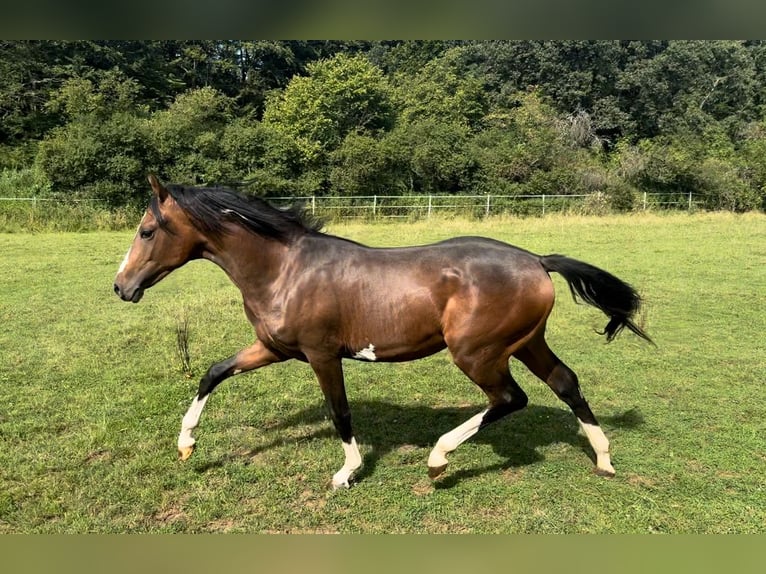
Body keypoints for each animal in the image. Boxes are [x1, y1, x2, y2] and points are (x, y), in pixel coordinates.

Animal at [115, 176, 656, 490]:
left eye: (146, 231)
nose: (122, 287)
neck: (284, 269)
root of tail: (538, 261)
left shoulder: (322, 354)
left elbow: (340, 411)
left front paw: (346, 472)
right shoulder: (272, 347)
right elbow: (212, 372)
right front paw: (186, 446)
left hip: (477, 353)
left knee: (509, 399)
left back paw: (438, 460)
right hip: (525, 344)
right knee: (565, 383)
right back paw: (604, 459)